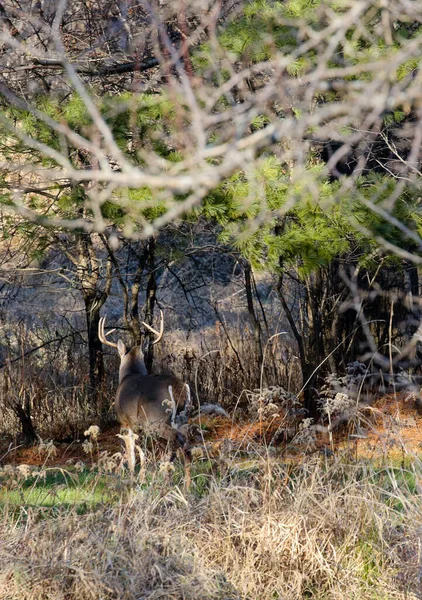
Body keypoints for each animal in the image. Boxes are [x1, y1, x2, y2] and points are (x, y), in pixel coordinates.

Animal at [98, 312, 192, 476]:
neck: (129, 375)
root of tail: (177, 388)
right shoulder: (138, 427)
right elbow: (141, 452)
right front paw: (140, 475)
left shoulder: (125, 421)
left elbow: (131, 454)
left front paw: (131, 475)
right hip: (182, 417)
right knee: (186, 446)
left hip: (155, 420)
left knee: (176, 441)